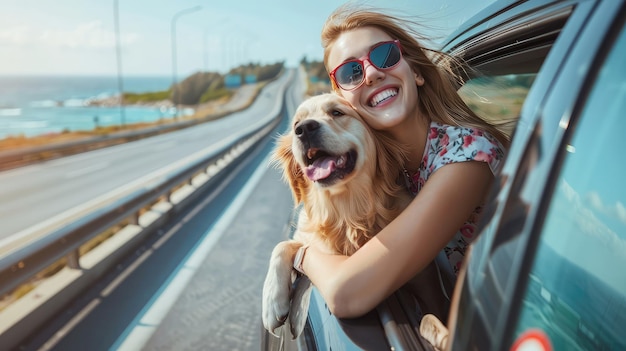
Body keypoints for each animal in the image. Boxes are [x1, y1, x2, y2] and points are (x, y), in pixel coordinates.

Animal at [260, 93, 410, 338]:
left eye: (337, 112)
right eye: (296, 124)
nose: (305, 129)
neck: (345, 214)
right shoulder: (306, 235)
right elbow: (282, 245)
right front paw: (272, 302)